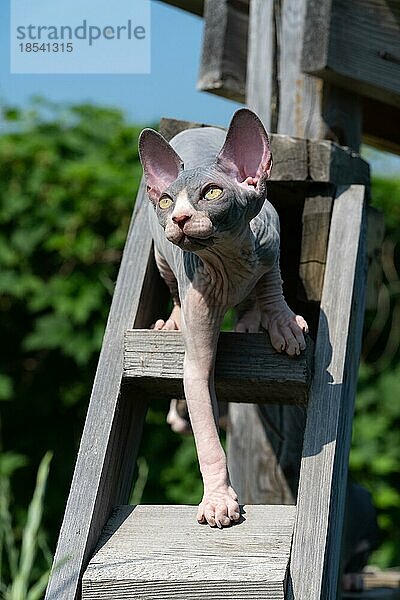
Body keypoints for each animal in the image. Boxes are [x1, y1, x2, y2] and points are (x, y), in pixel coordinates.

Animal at [139, 110, 308, 528]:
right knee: (174, 291)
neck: (230, 263)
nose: (179, 218)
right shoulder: (196, 337)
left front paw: (283, 322)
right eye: (166, 200)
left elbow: (272, 282)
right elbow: (204, 420)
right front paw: (217, 501)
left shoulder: (271, 239)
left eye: (212, 193)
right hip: (163, 258)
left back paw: (251, 322)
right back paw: (172, 323)